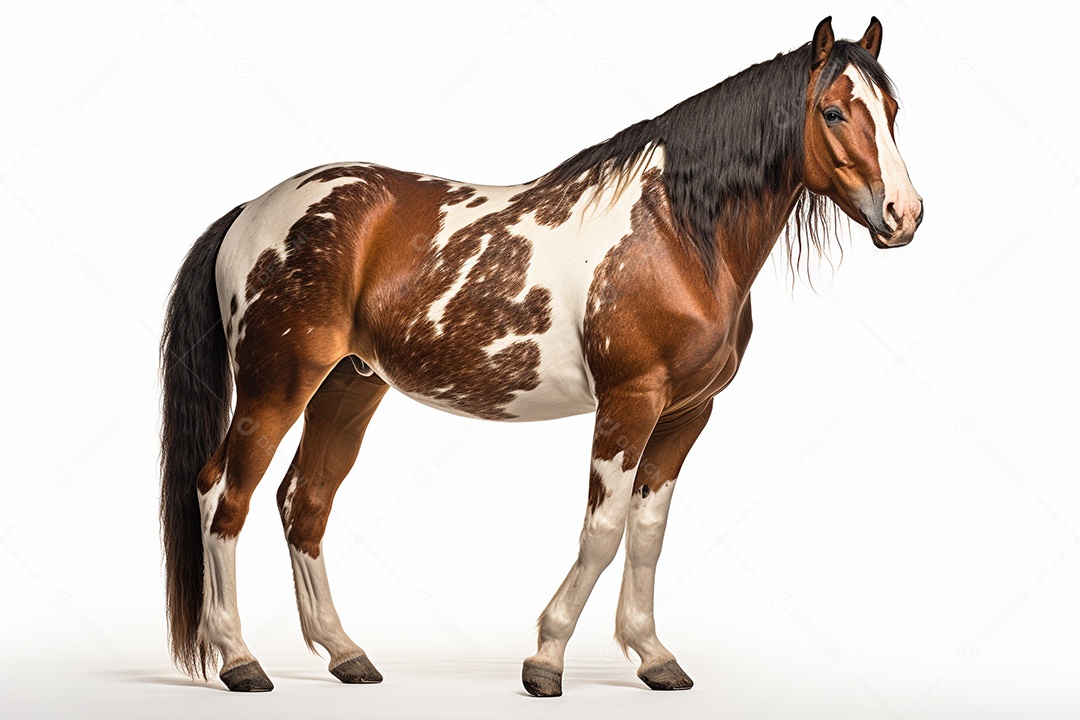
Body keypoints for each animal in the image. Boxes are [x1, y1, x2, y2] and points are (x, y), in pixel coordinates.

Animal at [160, 16, 922, 695]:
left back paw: (345, 654)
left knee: (305, 501)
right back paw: (239, 660)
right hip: (275, 386)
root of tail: (254, 209)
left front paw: (654, 658)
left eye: (891, 110)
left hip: (348, 387)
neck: (675, 233)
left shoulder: (686, 414)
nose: (904, 215)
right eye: (832, 110)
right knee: (223, 495)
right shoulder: (629, 403)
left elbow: (649, 533)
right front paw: (546, 660)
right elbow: (604, 531)